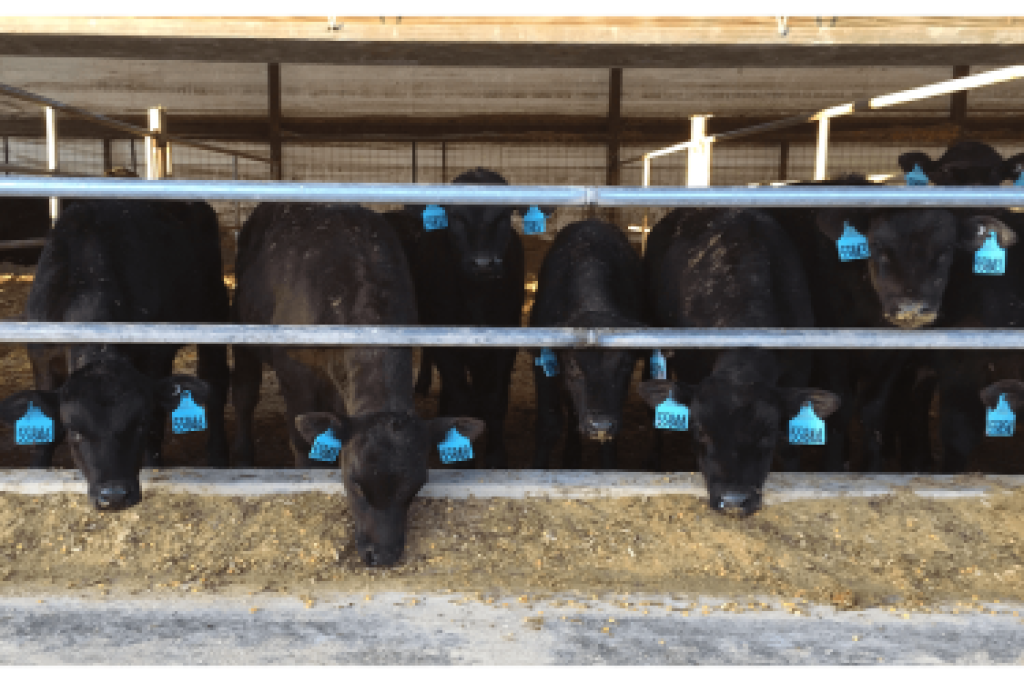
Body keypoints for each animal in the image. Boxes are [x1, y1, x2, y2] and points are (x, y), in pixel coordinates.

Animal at [0, 199, 230, 507]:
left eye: (139, 423)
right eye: (75, 431)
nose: (114, 495)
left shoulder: (154, 358)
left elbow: (157, 425)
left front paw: (153, 466)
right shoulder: (42, 358)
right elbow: (44, 432)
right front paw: (36, 471)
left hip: (214, 311)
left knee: (214, 381)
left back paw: (219, 457)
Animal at [231, 201, 483, 561]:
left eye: (416, 487)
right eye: (354, 483)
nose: (384, 556)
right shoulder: (296, 373)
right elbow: (302, 440)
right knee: (244, 392)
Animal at [532, 220, 643, 471]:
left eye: (625, 366)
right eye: (573, 366)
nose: (599, 425)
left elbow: (610, 440)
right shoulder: (541, 367)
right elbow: (550, 425)